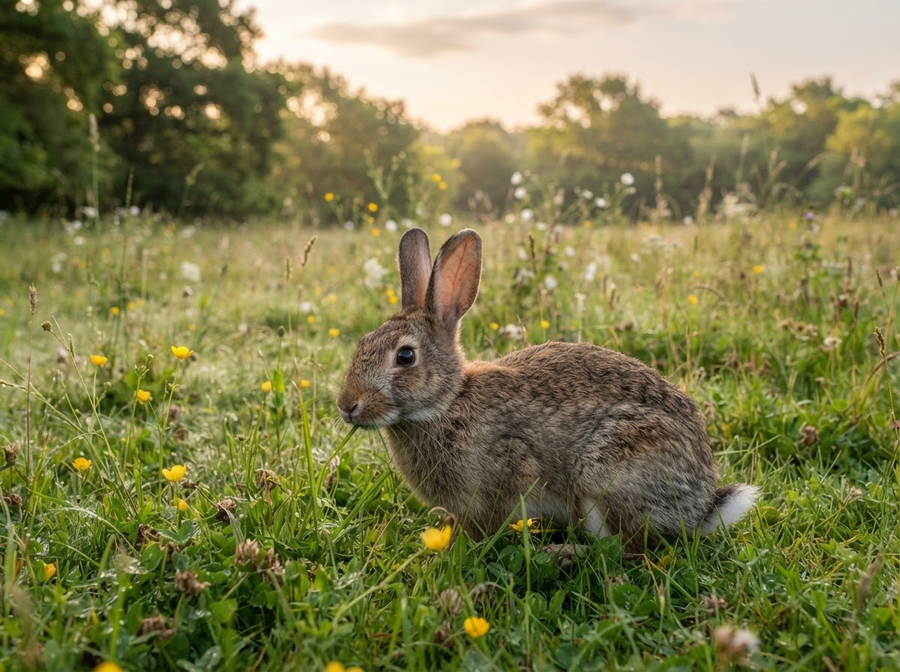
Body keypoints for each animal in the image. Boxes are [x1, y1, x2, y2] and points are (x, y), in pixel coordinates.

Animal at [336, 227, 759, 550]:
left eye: (405, 356)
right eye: (361, 344)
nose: (346, 405)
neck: (448, 402)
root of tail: (699, 507)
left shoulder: (512, 463)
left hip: (604, 474)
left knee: (624, 548)